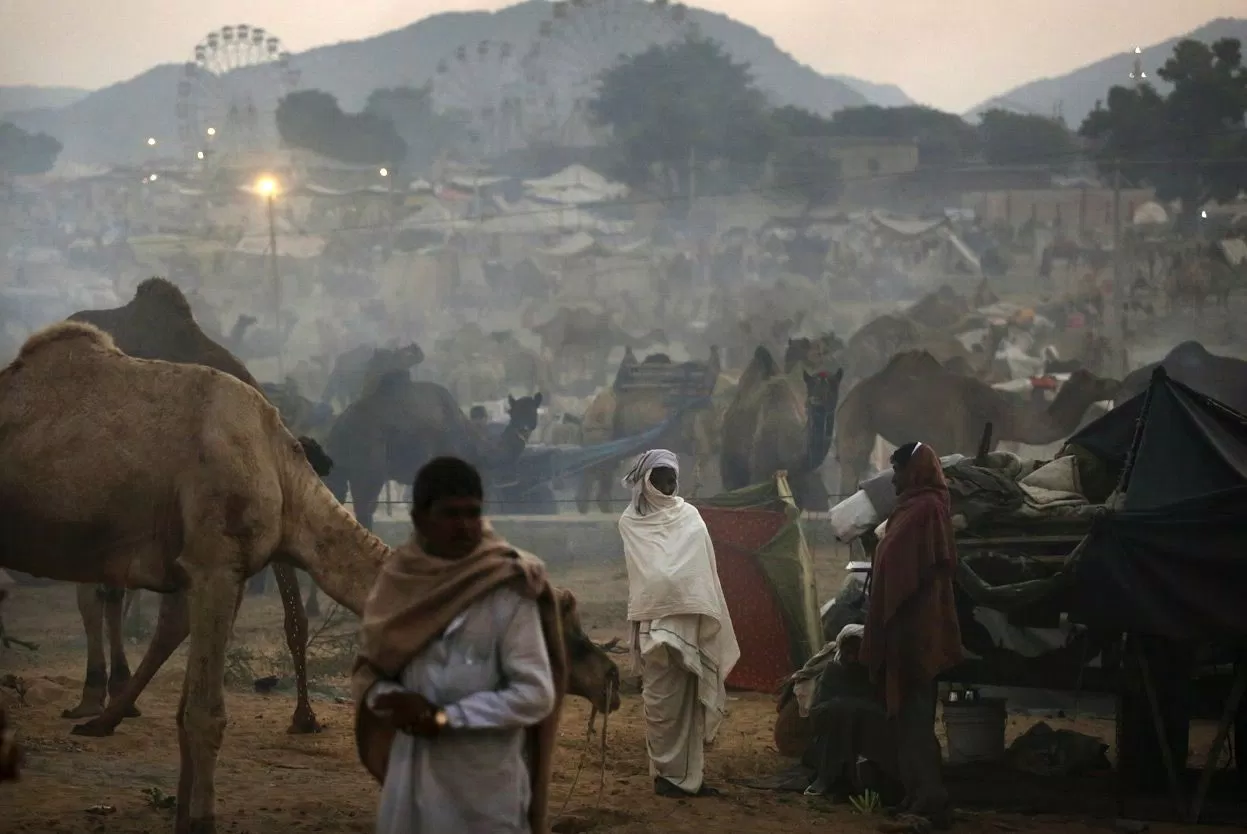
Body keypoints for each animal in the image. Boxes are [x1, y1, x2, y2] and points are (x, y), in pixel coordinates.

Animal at [324, 371, 538, 526]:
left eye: (532, 411)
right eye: (516, 411)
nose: (524, 427)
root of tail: (341, 424)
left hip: (338, 462)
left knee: (337, 495)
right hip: (369, 464)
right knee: (364, 506)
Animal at [837, 349, 1122, 491]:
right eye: (1096, 381)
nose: (1116, 383)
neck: (1005, 415)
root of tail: (848, 394)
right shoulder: (969, 436)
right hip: (856, 415)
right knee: (853, 464)